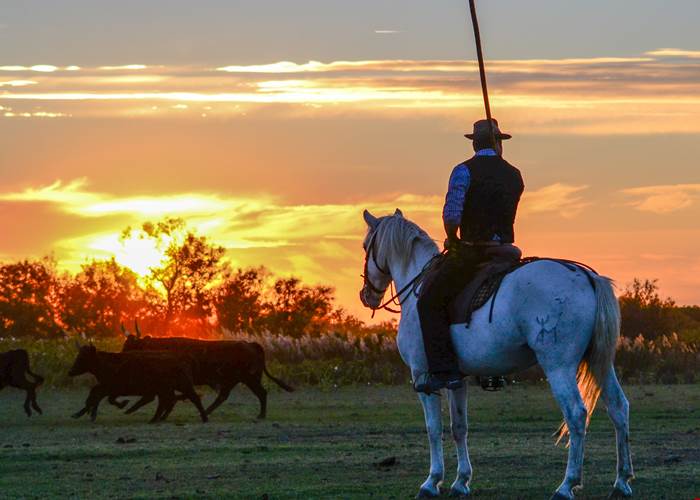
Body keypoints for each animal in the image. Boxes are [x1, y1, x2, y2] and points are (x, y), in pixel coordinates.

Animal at [359, 209, 633, 500]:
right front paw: (461, 481)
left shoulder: (423, 377)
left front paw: (432, 482)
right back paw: (622, 482)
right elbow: (459, 427)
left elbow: (434, 429)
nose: (366, 295)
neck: (417, 285)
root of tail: (588, 278)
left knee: (576, 414)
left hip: (559, 367)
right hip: (600, 364)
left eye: (365, 246)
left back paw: (567, 485)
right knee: (618, 408)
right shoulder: (457, 378)